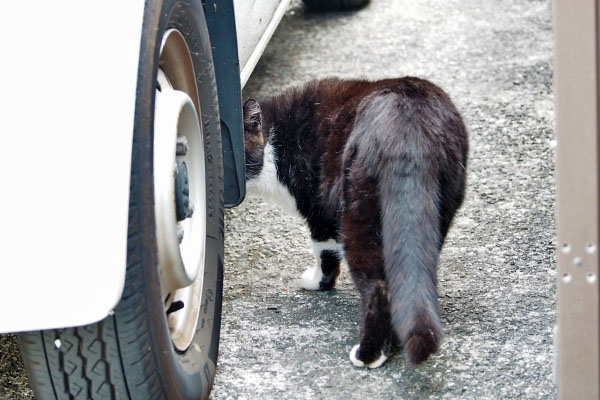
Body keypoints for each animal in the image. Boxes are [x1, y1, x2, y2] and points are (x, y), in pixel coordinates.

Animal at [244, 77, 468, 368]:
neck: (275, 141)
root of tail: (409, 131)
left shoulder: (319, 210)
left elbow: (324, 251)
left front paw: (318, 283)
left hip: (358, 211)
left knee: (378, 284)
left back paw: (370, 353)